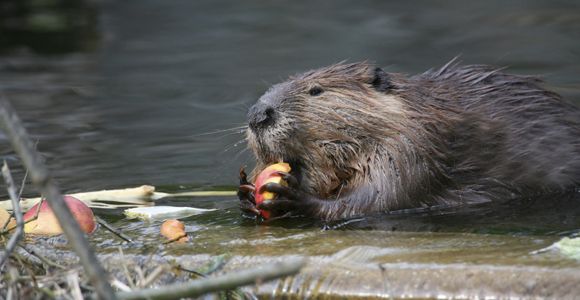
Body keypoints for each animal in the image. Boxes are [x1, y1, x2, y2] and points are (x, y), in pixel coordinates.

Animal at [237, 60, 580, 220]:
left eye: (316, 90)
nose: (258, 114)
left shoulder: (410, 148)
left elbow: (377, 199)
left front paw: (292, 197)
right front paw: (245, 194)